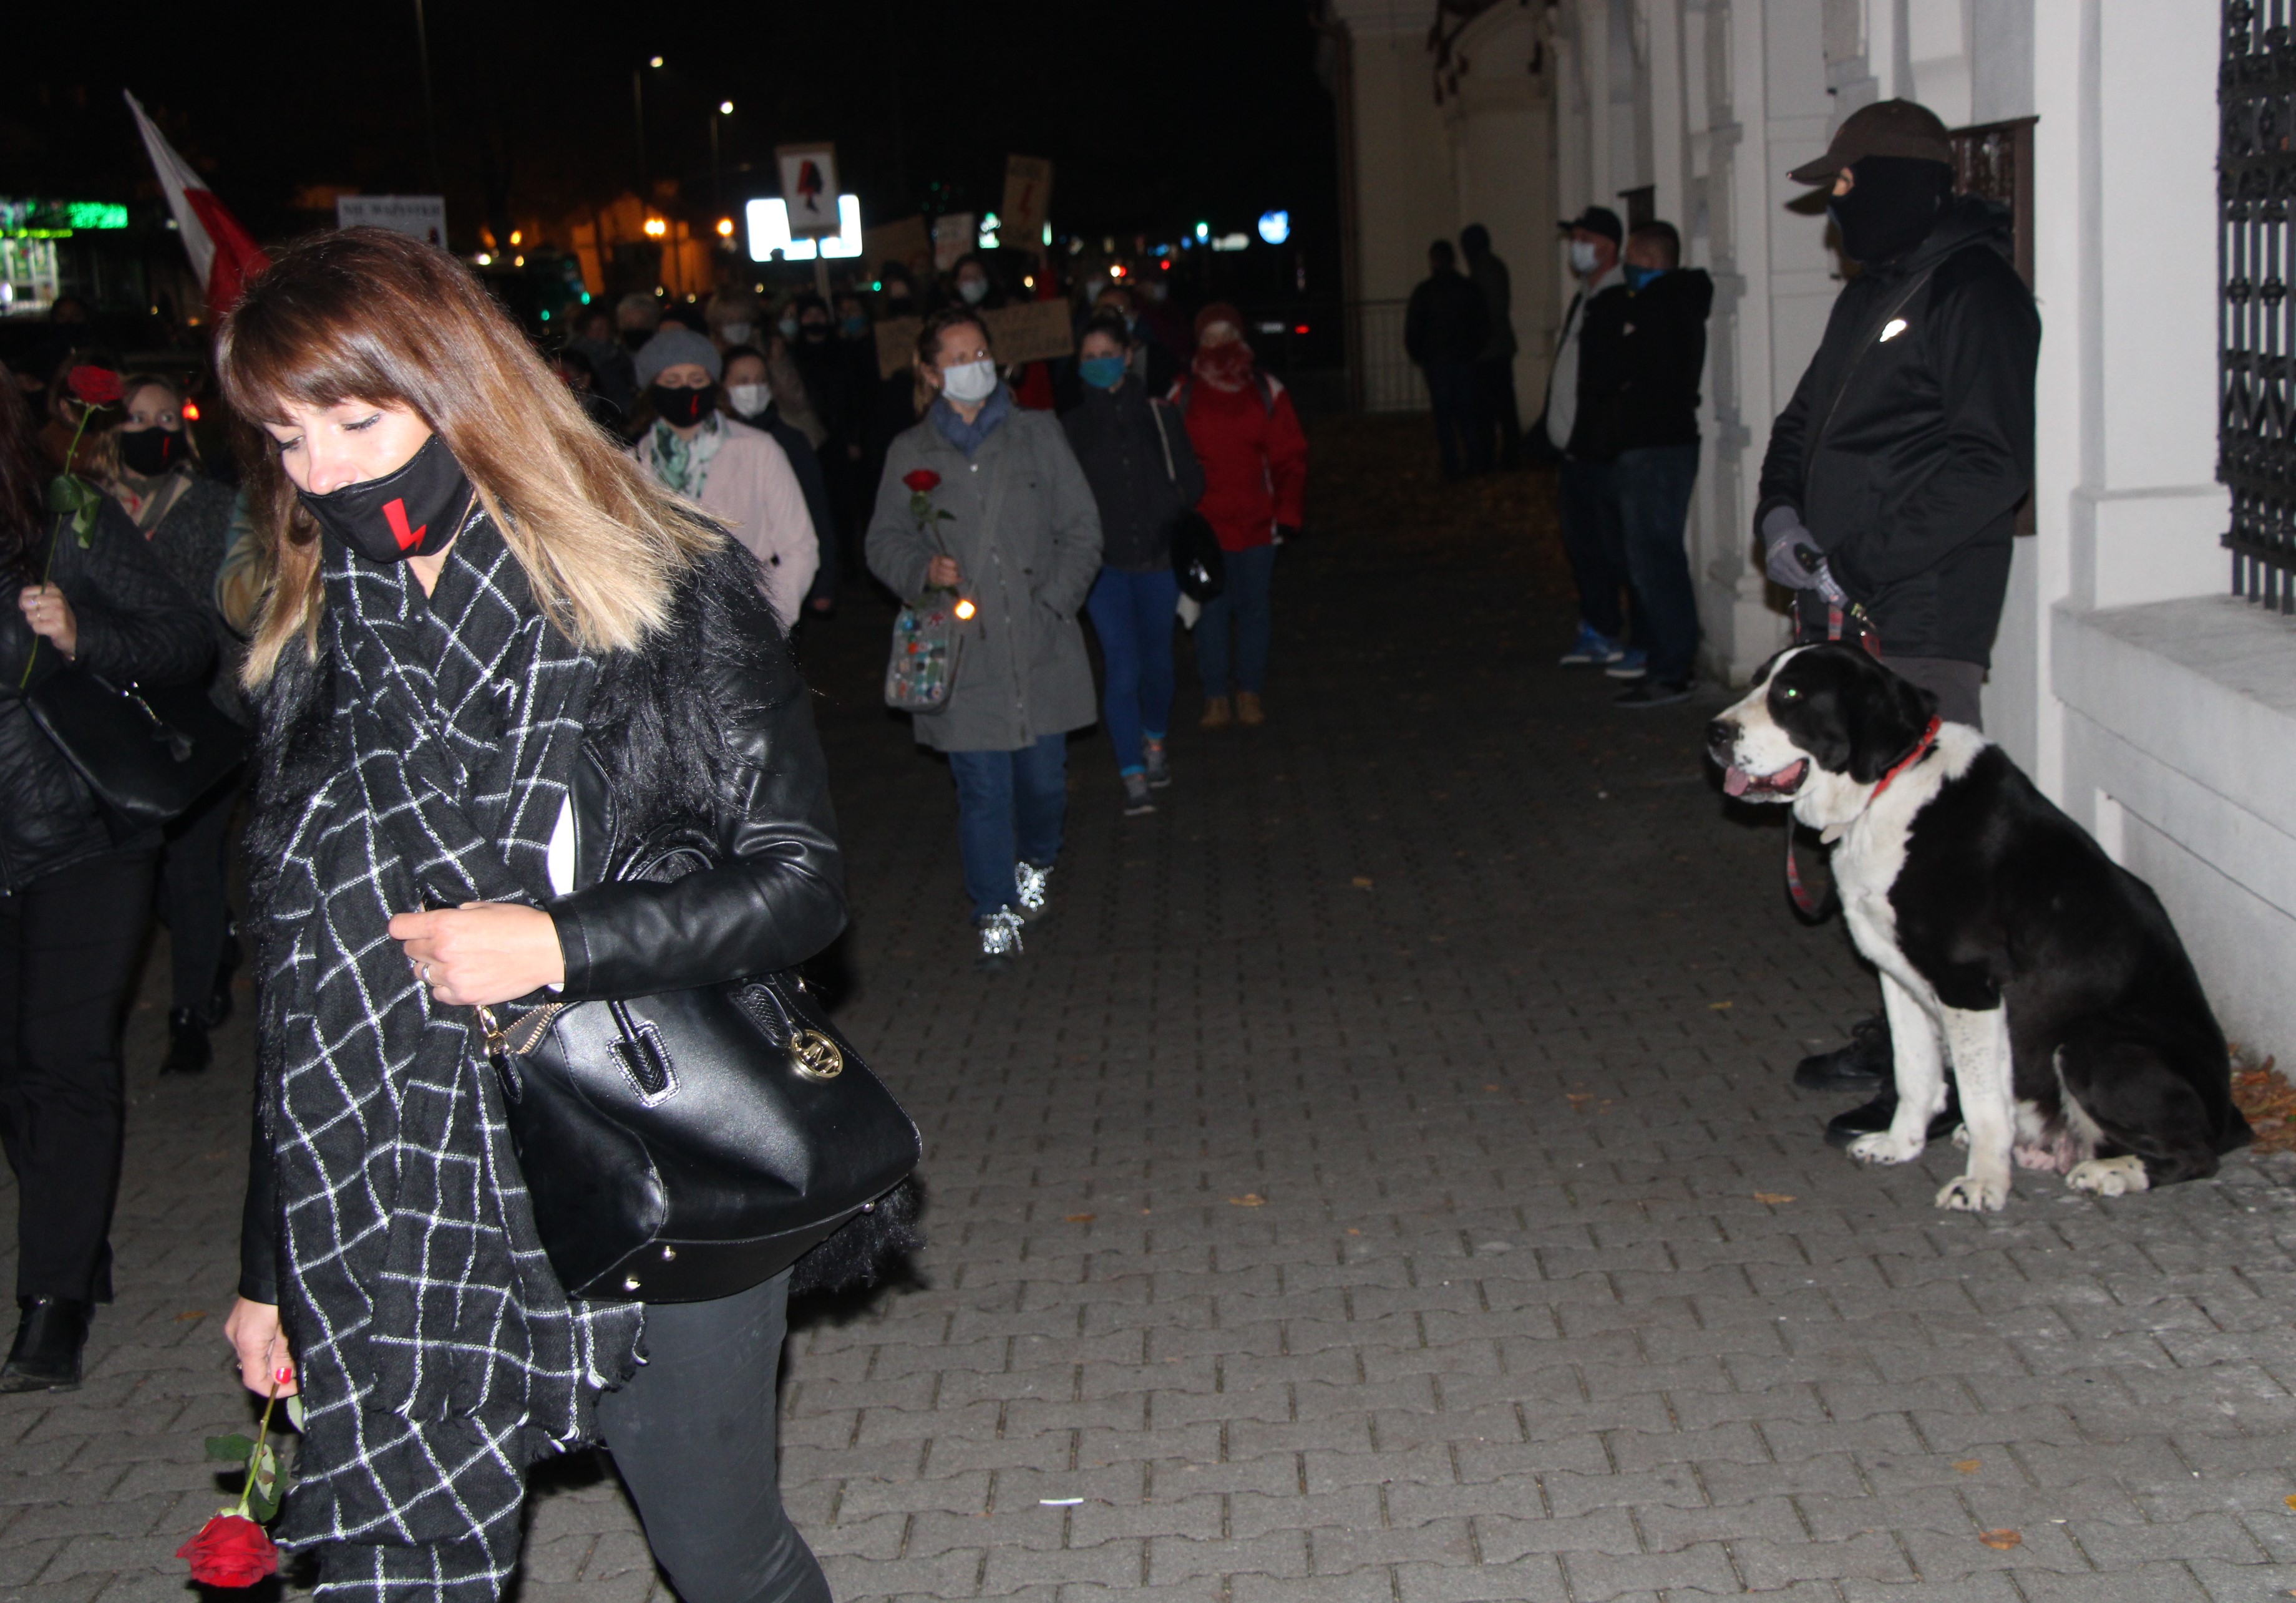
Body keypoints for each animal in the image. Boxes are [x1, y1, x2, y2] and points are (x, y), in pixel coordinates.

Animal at [1708, 642, 2240, 1203]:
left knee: (2194, 1154)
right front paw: (1900, 1144)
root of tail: (2229, 1119)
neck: (1888, 787)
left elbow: (1982, 1098)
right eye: (1758, 682)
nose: (1714, 733)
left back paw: (2111, 1171)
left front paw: (1983, 1182)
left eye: (1792, 694)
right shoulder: (1896, 975)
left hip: (2092, 1040)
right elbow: (1914, 1072)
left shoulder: (1969, 985)